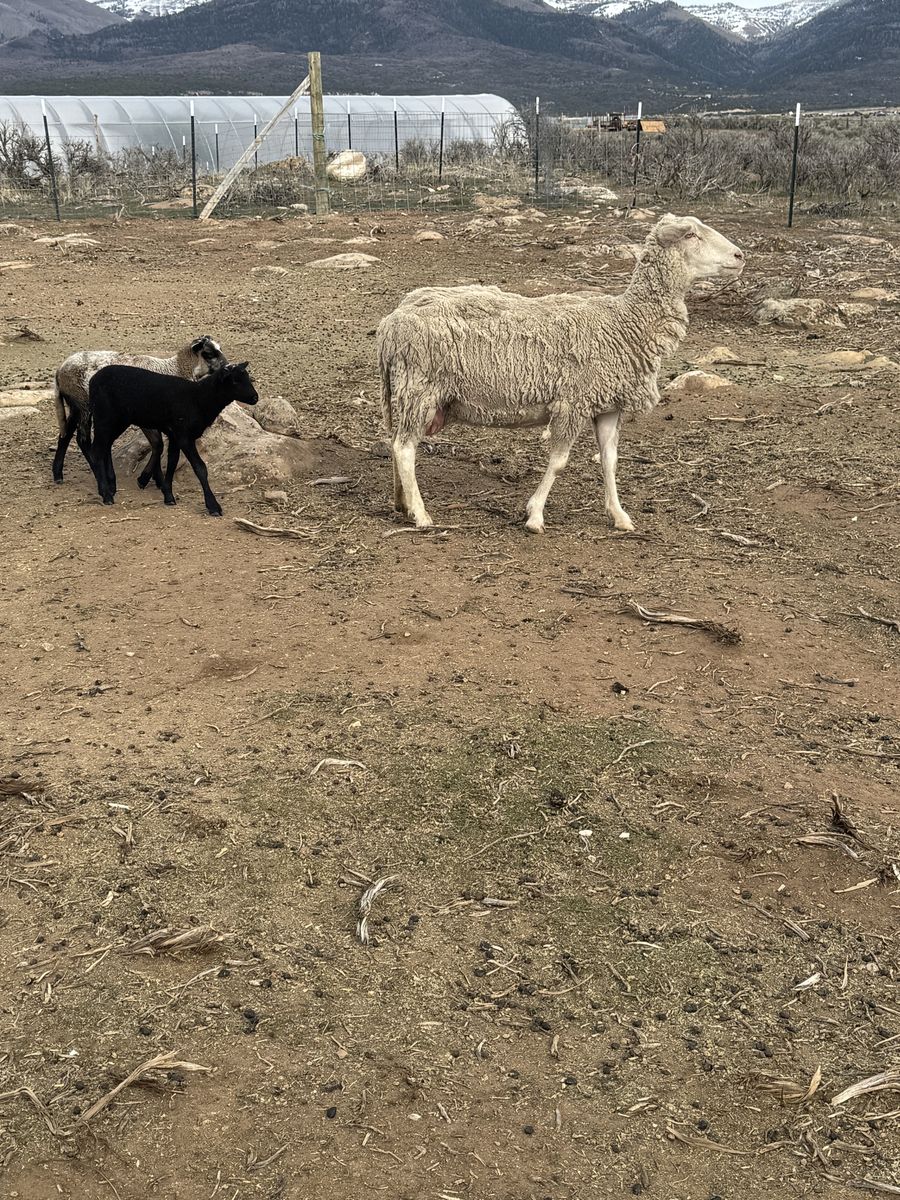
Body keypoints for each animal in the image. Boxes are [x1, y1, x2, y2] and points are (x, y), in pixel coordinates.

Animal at [52, 336, 226, 484]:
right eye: (209, 353)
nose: (227, 366)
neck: (174, 369)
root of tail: (60, 369)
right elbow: (157, 444)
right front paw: (145, 478)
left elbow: (158, 445)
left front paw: (155, 479)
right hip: (83, 403)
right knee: (83, 440)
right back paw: (97, 472)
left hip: (76, 404)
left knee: (65, 435)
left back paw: (58, 474)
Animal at [85, 361, 258, 516]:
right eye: (235, 381)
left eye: (248, 378)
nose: (255, 397)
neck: (198, 398)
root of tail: (93, 380)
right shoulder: (184, 435)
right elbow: (200, 468)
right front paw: (213, 506)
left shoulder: (175, 435)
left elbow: (172, 462)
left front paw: (168, 495)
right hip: (104, 416)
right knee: (97, 450)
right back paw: (106, 494)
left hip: (119, 419)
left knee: (105, 446)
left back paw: (111, 486)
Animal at [378, 214, 745, 534]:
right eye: (691, 235)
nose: (740, 256)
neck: (626, 323)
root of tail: (391, 322)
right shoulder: (573, 401)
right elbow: (558, 461)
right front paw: (535, 515)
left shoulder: (608, 405)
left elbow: (609, 459)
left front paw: (619, 516)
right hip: (419, 387)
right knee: (404, 448)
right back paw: (421, 515)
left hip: (408, 391)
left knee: (396, 442)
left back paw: (402, 503)